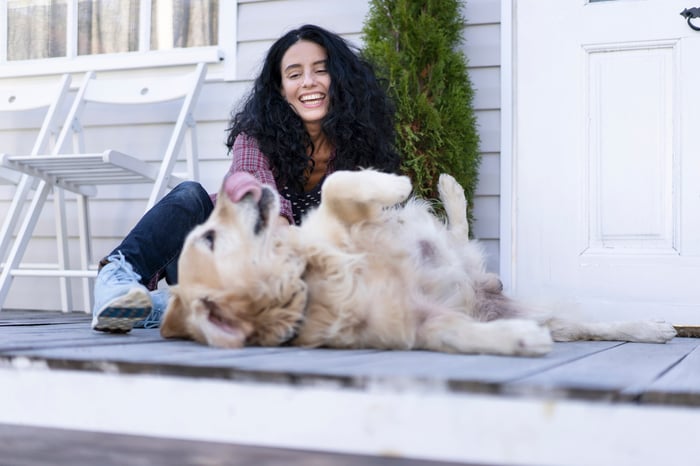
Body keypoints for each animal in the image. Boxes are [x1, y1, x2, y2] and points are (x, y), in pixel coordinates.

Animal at [160, 169, 680, 354]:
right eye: (208, 237)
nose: (236, 189)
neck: (310, 282)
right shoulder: (421, 323)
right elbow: (462, 336)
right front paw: (518, 340)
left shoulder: (335, 219)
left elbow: (336, 182)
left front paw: (396, 183)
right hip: (531, 311)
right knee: (586, 327)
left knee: (455, 233)